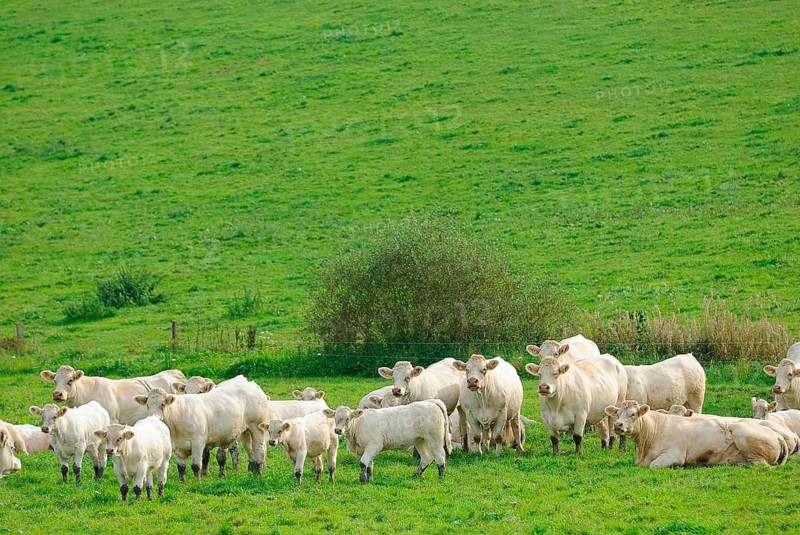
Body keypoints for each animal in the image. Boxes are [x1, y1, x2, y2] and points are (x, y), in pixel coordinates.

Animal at [134, 376, 269, 481]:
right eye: (147, 405)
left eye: (163, 404)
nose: (153, 417)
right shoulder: (176, 445)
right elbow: (181, 467)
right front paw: (182, 481)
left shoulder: (198, 442)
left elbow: (196, 465)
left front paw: (197, 481)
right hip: (244, 431)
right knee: (249, 448)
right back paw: (252, 469)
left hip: (257, 426)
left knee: (259, 448)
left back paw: (259, 473)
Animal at [605, 400, 788, 467]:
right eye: (617, 413)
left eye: (633, 414)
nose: (617, 424)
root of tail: (777, 434)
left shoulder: (674, 455)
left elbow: (654, 465)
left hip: (740, 431)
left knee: (761, 464)